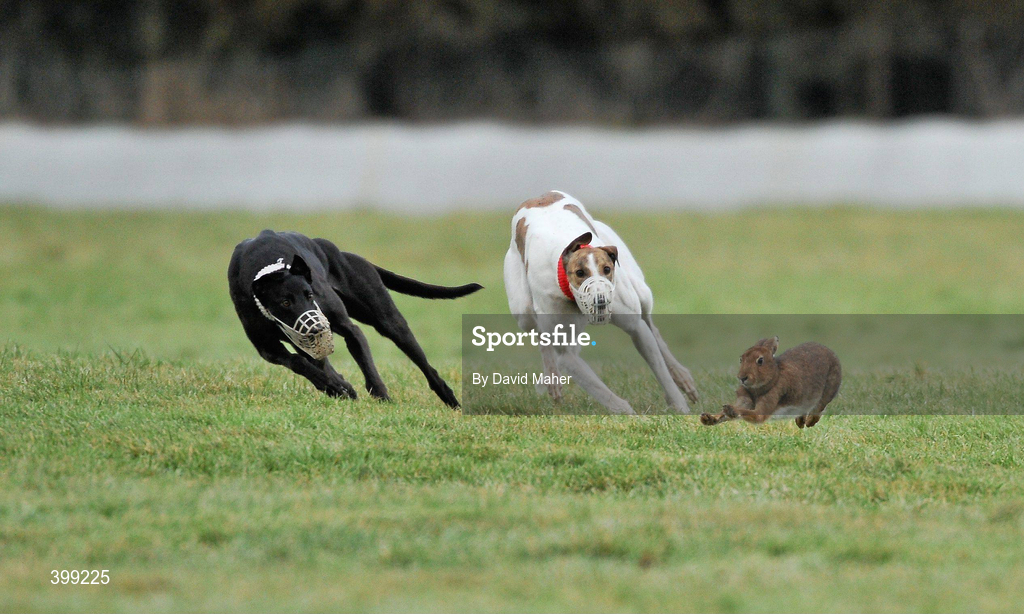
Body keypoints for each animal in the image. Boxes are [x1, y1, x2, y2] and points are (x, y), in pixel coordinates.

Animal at [700, 336, 841, 428]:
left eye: (760, 361)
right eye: (741, 359)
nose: (742, 377)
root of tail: (832, 354)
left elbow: (755, 415)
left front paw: (730, 409)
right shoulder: (745, 400)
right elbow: (725, 414)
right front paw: (707, 418)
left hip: (828, 389)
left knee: (819, 406)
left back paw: (809, 422)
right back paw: (800, 422)